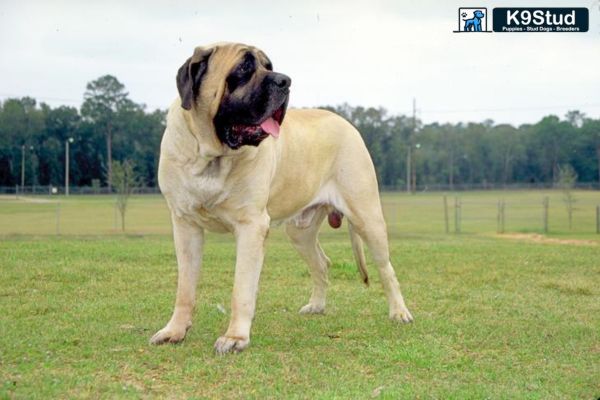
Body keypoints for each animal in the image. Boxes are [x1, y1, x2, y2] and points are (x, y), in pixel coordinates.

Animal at [151, 40, 412, 354]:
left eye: (269, 66)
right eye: (244, 68)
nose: (284, 81)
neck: (211, 156)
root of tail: (346, 123)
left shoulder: (251, 226)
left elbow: (241, 288)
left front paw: (235, 337)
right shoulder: (185, 225)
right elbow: (185, 287)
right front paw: (175, 331)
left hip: (367, 217)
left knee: (386, 269)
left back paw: (399, 312)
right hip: (300, 231)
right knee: (322, 263)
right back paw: (316, 305)